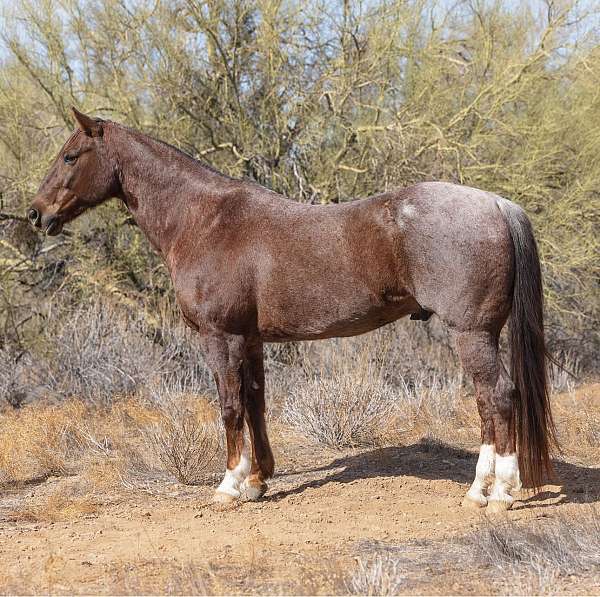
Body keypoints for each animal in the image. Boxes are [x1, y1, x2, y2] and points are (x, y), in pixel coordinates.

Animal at [27, 106, 552, 508]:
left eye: (70, 156)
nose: (35, 213)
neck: (206, 220)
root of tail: (497, 203)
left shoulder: (221, 337)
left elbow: (229, 406)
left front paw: (229, 486)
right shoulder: (251, 339)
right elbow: (256, 402)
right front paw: (258, 481)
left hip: (472, 334)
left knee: (498, 398)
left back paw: (497, 493)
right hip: (480, 336)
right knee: (487, 404)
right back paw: (480, 490)